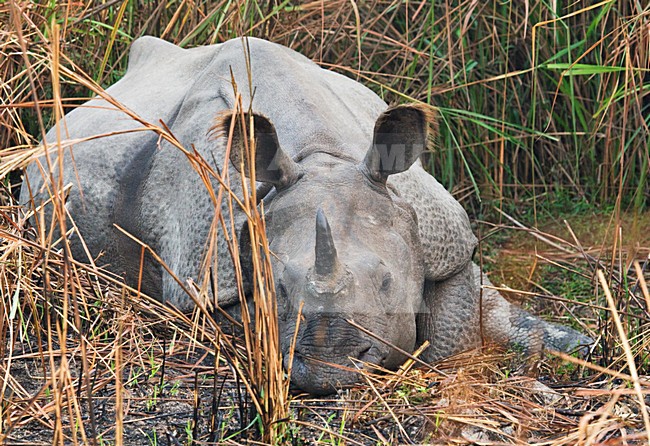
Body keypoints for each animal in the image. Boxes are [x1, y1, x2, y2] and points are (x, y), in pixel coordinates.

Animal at [20, 36, 592, 394]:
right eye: (274, 288)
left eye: (388, 284)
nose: (326, 370)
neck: (323, 156)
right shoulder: (205, 274)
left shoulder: (442, 237)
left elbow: (462, 322)